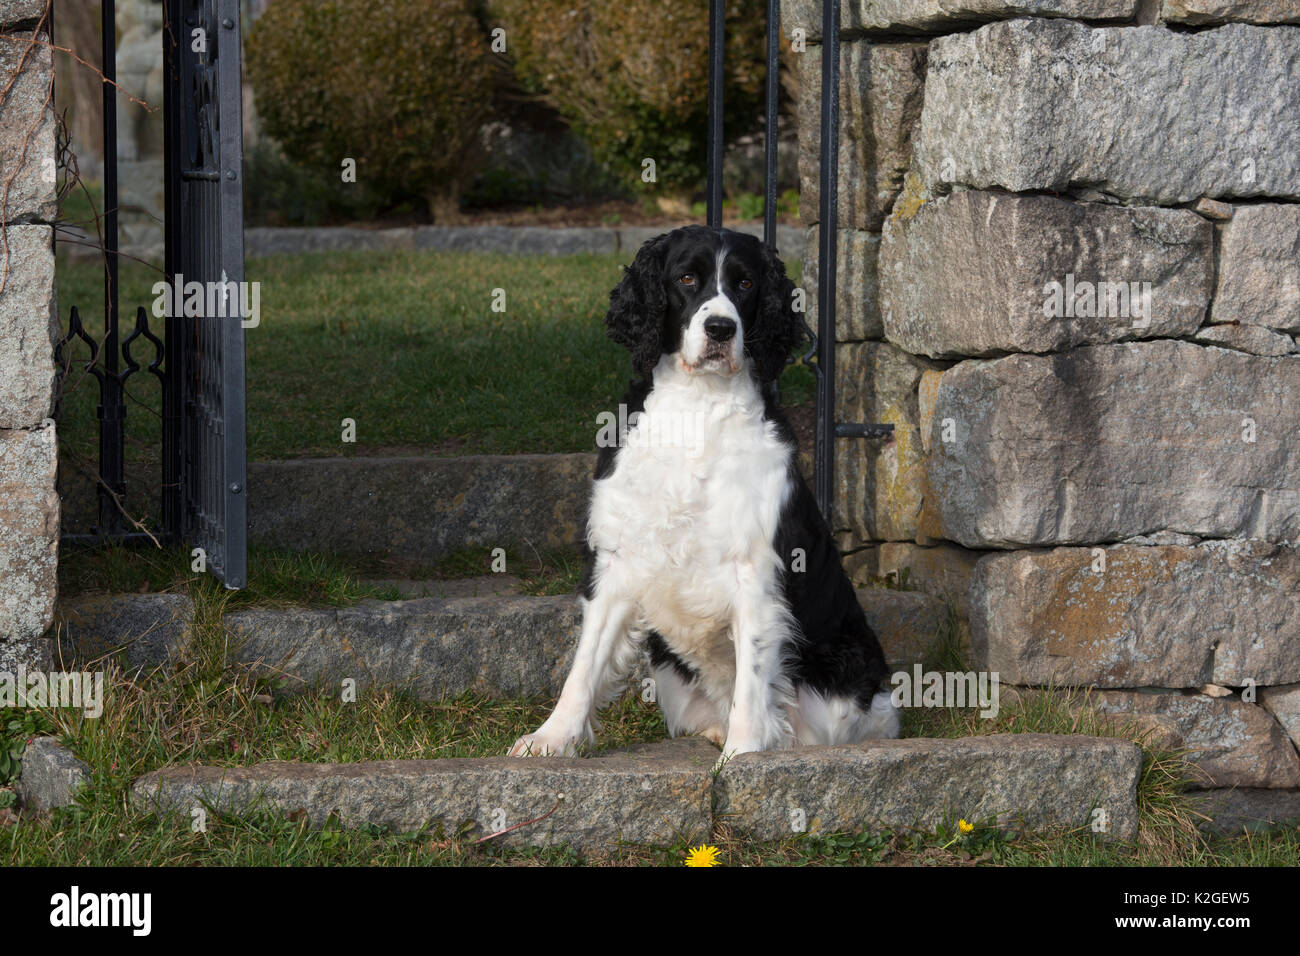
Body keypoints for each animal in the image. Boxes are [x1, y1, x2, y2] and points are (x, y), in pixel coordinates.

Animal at [512, 223, 899, 764]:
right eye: (687, 278)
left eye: (746, 284)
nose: (720, 329)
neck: (697, 408)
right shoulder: (617, 560)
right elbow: (584, 665)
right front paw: (552, 737)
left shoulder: (754, 571)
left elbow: (753, 681)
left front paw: (742, 755)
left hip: (844, 683)